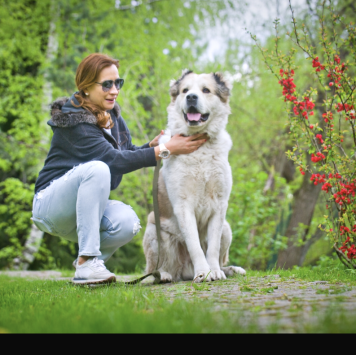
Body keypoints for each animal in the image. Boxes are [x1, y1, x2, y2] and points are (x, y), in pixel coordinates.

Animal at [142, 69, 245, 284]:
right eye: (185, 90)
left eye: (206, 90)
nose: (191, 97)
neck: (200, 147)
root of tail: (185, 272)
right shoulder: (183, 206)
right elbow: (195, 245)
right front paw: (203, 272)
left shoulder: (220, 205)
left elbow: (212, 248)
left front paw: (214, 271)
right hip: (154, 232)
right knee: (155, 269)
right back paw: (164, 275)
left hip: (226, 228)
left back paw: (231, 269)